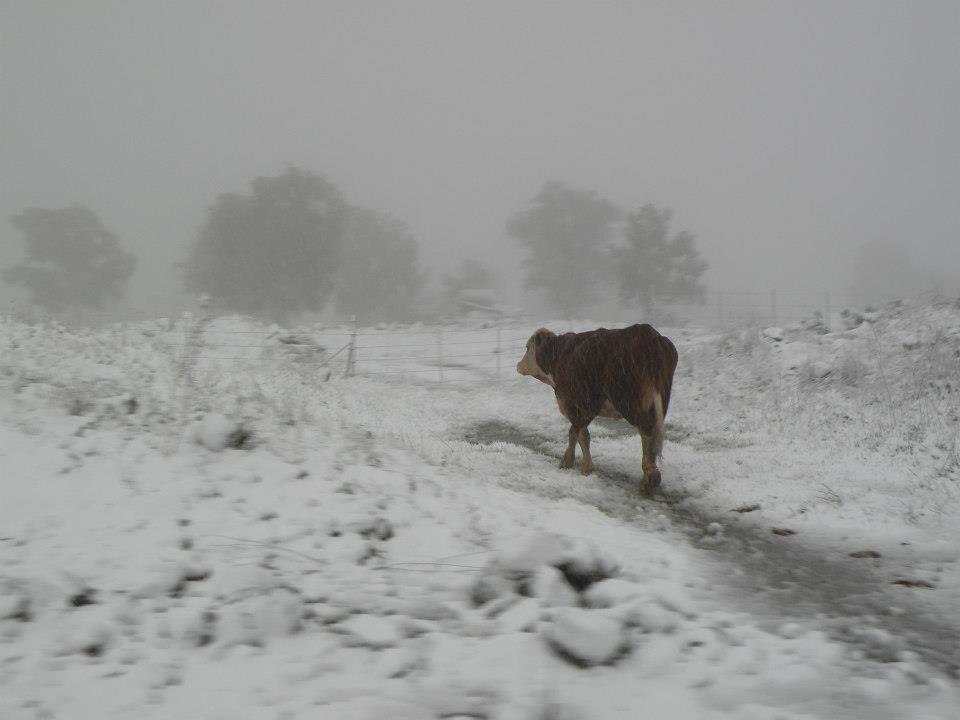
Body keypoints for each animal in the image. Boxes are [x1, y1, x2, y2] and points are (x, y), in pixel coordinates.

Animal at [516, 324, 678, 494]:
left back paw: (650, 478)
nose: (518, 365)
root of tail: (649, 334)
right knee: (653, 433)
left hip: (630, 401)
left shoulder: (575, 404)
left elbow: (580, 435)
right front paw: (569, 461)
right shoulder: (586, 409)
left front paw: (583, 468)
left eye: (527, 347)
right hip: (659, 400)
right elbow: (575, 433)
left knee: (646, 431)